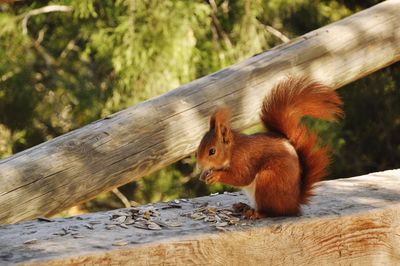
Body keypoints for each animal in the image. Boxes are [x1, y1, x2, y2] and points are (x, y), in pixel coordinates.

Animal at [195, 76, 342, 218]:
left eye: (212, 151)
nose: (200, 166)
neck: (232, 150)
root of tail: (294, 204)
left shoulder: (243, 159)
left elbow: (242, 177)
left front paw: (216, 176)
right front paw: (204, 175)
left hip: (268, 181)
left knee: (272, 212)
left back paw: (256, 213)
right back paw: (243, 207)